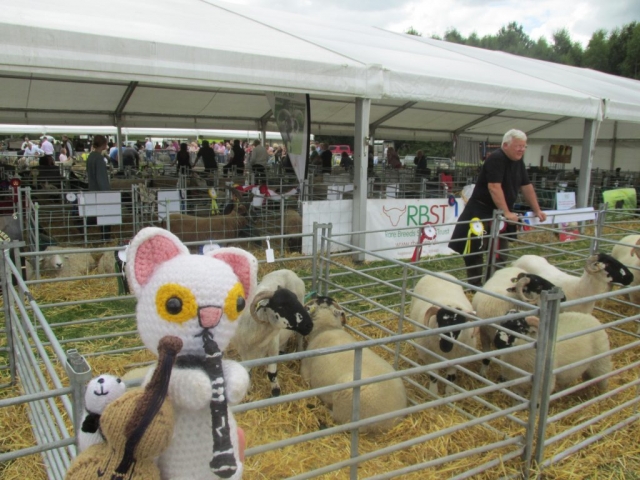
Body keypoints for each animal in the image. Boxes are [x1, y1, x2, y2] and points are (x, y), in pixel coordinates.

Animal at [124, 227, 256, 480]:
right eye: (173, 305)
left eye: (240, 303)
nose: (210, 317)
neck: (198, 361)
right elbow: (183, 383)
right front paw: (201, 387)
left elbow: (235, 373)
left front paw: (233, 387)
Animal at [231, 268, 314, 396]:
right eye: (281, 306)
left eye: (295, 300)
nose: (309, 325)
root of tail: (288, 270)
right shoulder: (243, 352)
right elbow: (247, 372)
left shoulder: (272, 349)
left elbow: (272, 374)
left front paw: (276, 392)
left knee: (299, 337)